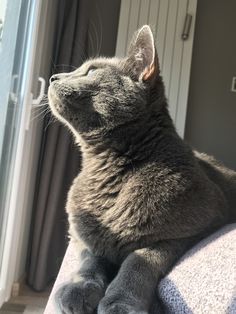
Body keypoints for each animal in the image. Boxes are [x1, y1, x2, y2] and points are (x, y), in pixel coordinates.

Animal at [48, 25, 236, 312]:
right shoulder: (79, 234)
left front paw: (120, 301)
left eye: (91, 71)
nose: (52, 77)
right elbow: (90, 256)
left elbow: (138, 259)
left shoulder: (188, 231)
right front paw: (78, 288)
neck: (108, 171)